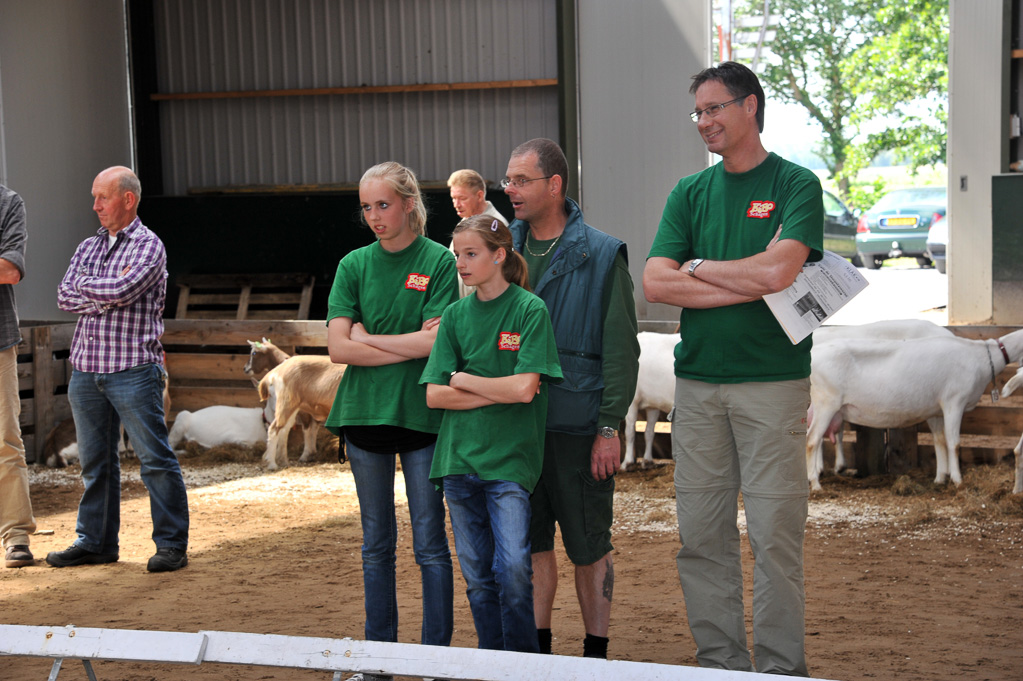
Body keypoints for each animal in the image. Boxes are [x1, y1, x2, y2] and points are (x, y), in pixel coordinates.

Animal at [621, 329, 679, 470]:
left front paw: (627, 462)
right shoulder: (653, 405)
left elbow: (630, 432)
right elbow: (649, 433)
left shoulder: (632, 401)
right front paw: (647, 461)